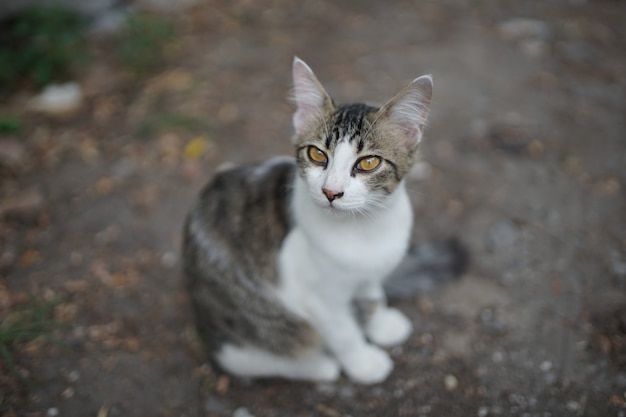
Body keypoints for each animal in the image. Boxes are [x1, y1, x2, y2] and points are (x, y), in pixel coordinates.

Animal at [183, 56, 456, 384]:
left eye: (368, 162)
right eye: (316, 154)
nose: (331, 192)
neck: (364, 227)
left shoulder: (370, 272)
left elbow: (372, 297)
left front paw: (380, 325)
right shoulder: (315, 296)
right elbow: (343, 332)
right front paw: (364, 362)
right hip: (255, 329)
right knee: (265, 352)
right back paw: (320, 366)